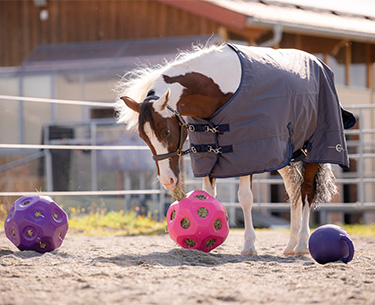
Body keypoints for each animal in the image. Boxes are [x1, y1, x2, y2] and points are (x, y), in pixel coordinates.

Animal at [116, 42, 356, 255]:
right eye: (143, 137)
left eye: (165, 132)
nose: (167, 180)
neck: (219, 88)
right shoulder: (207, 154)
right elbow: (208, 195)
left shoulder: (248, 153)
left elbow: (245, 198)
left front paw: (249, 246)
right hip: (285, 158)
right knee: (293, 191)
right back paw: (290, 245)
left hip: (313, 152)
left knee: (306, 191)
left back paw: (302, 245)